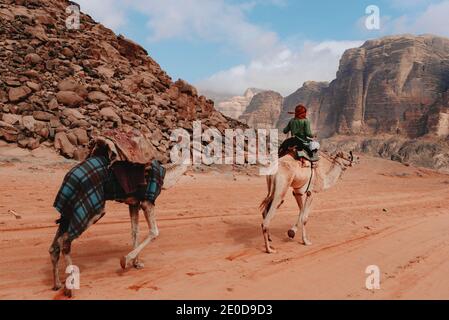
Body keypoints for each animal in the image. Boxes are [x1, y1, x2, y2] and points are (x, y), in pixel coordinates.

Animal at [49, 160, 187, 298]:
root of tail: (68, 176)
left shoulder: (134, 203)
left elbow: (135, 231)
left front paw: (136, 263)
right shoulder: (147, 201)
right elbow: (154, 232)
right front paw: (125, 260)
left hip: (68, 210)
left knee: (55, 245)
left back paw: (57, 285)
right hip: (93, 210)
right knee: (64, 240)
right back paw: (69, 289)